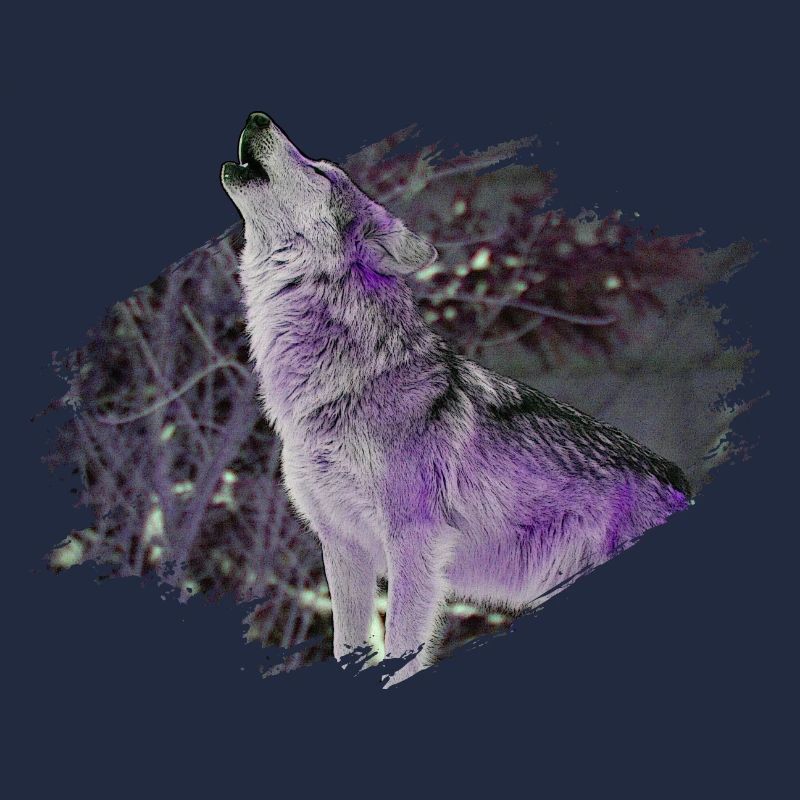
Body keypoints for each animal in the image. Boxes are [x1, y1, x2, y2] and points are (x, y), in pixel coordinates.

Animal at [221, 112, 692, 686]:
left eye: (321, 172)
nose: (257, 116)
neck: (339, 384)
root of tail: (680, 485)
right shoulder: (344, 549)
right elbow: (347, 648)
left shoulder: (413, 545)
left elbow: (400, 656)